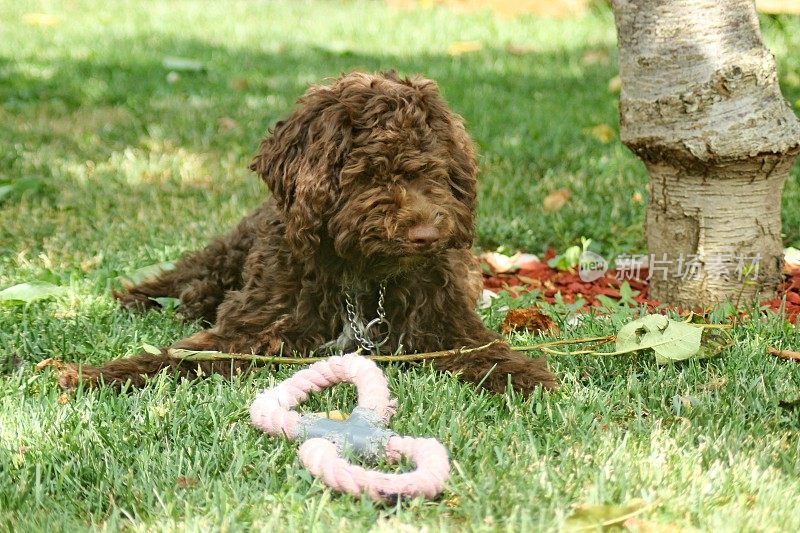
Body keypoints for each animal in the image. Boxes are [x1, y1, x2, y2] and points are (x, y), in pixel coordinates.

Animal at [61, 70, 556, 392]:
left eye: (433, 170)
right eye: (371, 172)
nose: (426, 237)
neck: (359, 276)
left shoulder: (445, 321)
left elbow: (481, 350)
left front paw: (524, 376)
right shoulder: (257, 325)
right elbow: (184, 357)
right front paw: (102, 375)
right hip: (230, 251)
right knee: (190, 273)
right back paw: (145, 298)